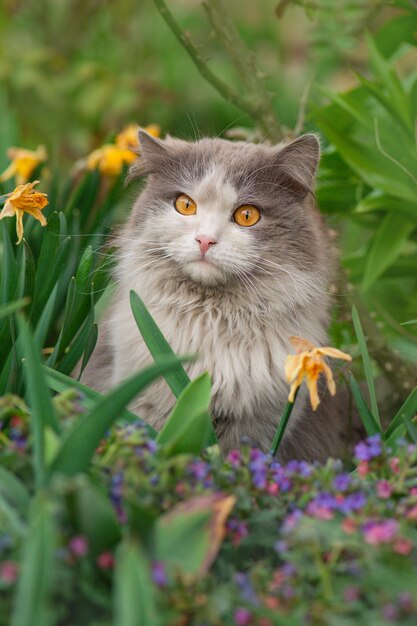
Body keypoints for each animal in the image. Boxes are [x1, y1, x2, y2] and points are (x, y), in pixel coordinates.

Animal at [83, 129, 354, 460]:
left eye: (247, 215)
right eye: (185, 205)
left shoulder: (260, 425)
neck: (212, 320)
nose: (205, 240)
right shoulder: (142, 403)